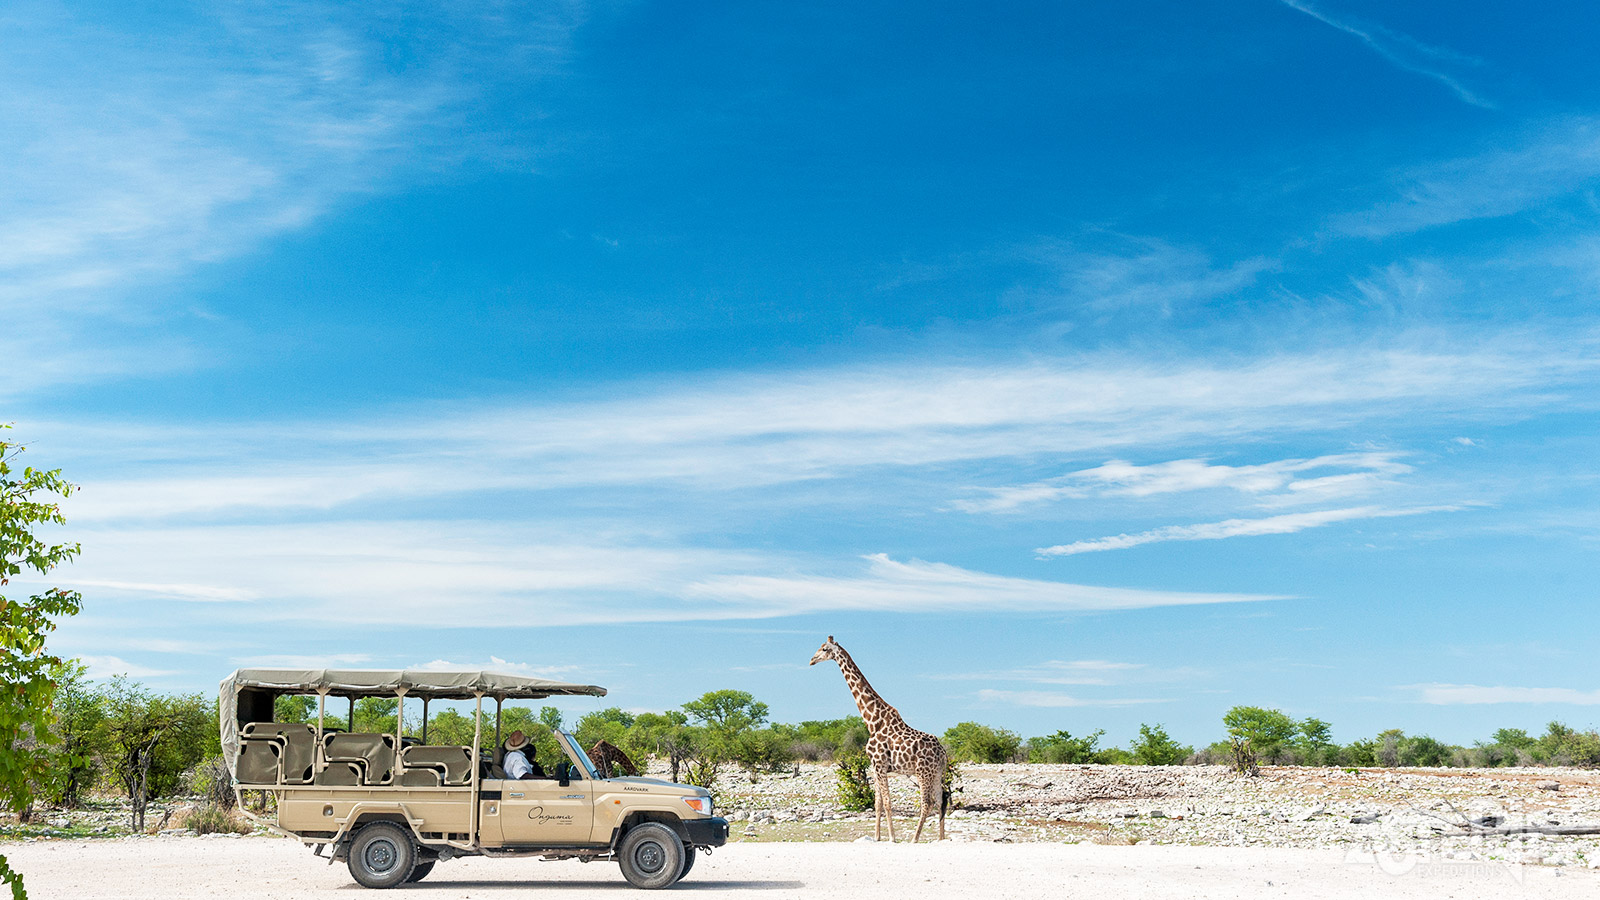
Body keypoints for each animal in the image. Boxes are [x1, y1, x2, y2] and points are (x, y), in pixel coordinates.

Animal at [806, 634, 940, 839]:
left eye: (825, 649)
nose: (811, 660)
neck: (872, 721)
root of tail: (943, 752)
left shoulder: (880, 765)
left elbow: (887, 802)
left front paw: (892, 838)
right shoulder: (876, 766)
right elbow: (878, 804)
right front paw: (877, 837)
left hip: (923, 772)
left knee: (928, 803)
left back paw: (914, 840)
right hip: (937, 773)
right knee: (942, 802)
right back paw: (941, 838)